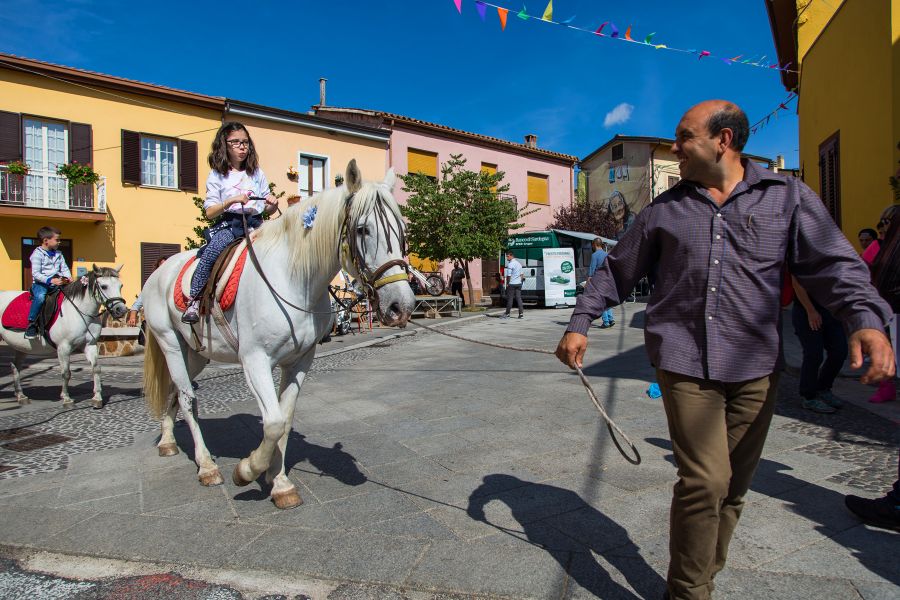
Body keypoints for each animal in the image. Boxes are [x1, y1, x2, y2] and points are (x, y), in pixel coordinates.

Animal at [0, 266, 128, 408]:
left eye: (121, 285)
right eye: (104, 286)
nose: (121, 310)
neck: (80, 313)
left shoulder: (90, 345)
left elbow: (96, 368)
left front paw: (97, 398)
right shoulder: (64, 347)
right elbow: (66, 373)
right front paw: (67, 399)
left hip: (22, 346)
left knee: (15, 366)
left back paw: (21, 396)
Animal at [144, 159, 414, 506]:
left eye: (403, 232)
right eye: (362, 229)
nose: (400, 305)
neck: (291, 278)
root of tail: (159, 272)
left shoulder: (299, 361)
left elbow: (284, 420)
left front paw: (279, 481)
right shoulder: (255, 361)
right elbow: (271, 423)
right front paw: (248, 470)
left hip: (196, 353)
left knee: (174, 391)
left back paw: (167, 441)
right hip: (171, 344)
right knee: (188, 399)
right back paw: (206, 466)